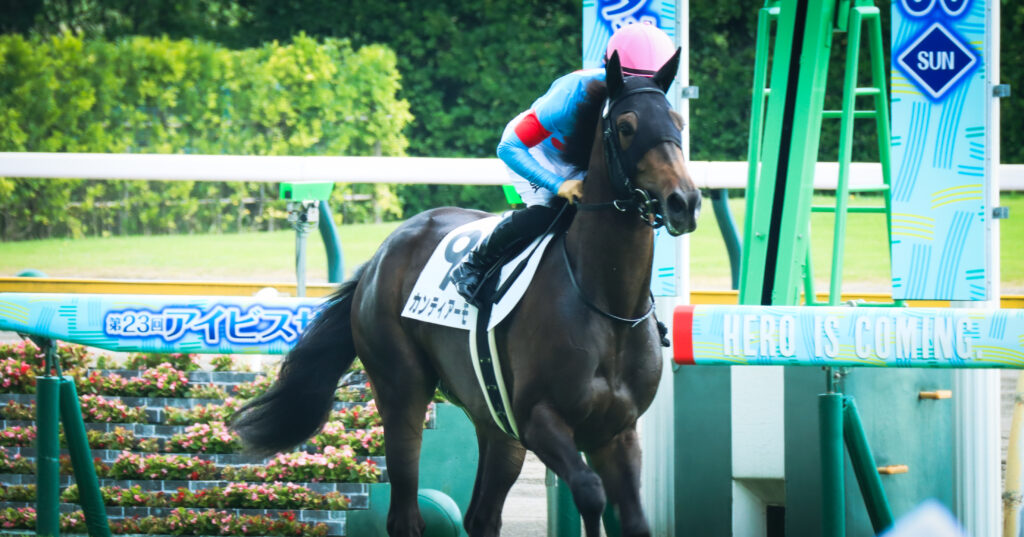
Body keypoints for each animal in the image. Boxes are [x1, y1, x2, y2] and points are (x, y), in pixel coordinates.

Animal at [231, 49, 701, 537]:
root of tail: (382, 252)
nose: (684, 201)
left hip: (493, 419)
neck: (607, 304)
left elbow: (634, 518)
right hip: (402, 389)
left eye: (678, 122)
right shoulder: (539, 419)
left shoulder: (617, 431)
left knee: (482, 515)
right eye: (626, 125)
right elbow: (590, 493)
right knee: (405, 509)